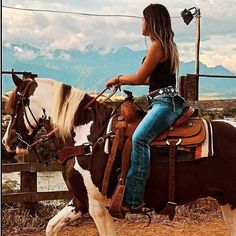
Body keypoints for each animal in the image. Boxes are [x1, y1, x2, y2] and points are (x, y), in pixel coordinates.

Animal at [1, 74, 236, 236]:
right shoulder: (80, 201)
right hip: (227, 202)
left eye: (15, 108)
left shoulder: (97, 206)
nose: (7, 142)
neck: (86, 139)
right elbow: (51, 226)